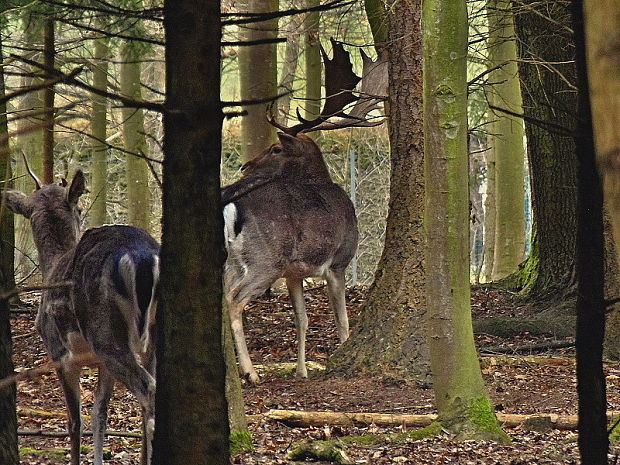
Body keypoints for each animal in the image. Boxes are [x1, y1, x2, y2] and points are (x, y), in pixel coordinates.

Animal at [3, 170, 157, 464]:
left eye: (81, 207)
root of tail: (140, 258)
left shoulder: (60, 353)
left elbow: (75, 421)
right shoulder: (100, 364)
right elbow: (99, 415)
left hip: (104, 332)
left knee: (148, 388)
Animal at [223, 40, 386, 380]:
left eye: (276, 148)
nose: (245, 166)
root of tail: (232, 204)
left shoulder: (294, 273)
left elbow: (302, 319)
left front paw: (302, 371)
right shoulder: (338, 260)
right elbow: (341, 318)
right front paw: (339, 353)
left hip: (235, 260)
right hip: (266, 258)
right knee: (234, 299)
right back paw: (251, 372)